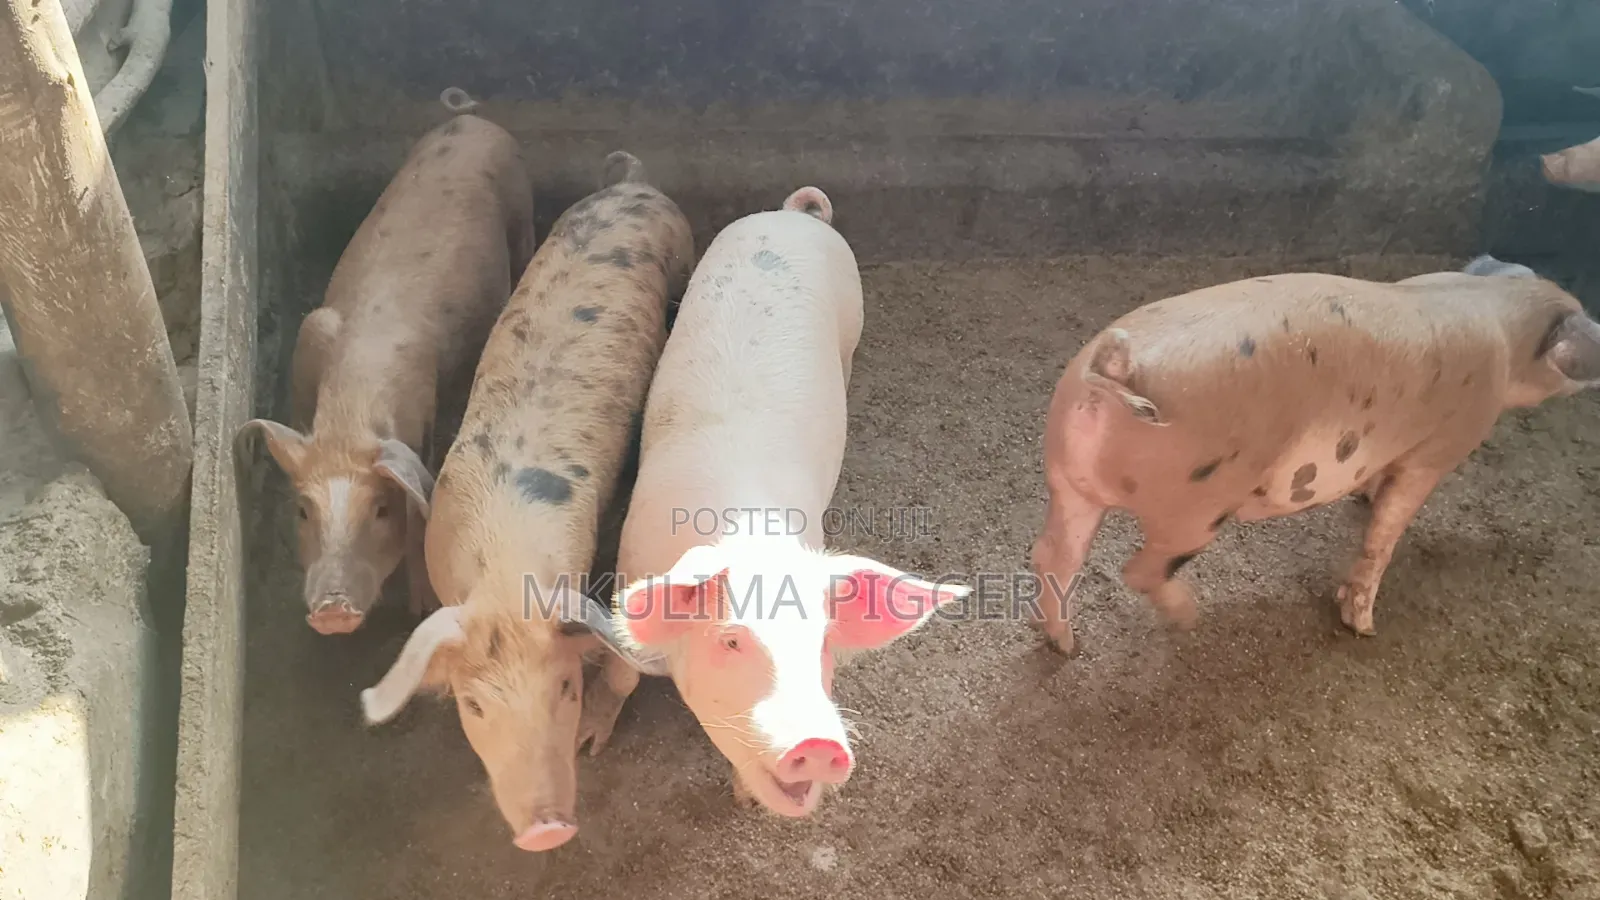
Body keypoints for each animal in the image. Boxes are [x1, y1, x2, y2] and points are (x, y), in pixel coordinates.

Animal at [235, 108, 535, 635]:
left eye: (379, 509)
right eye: (302, 511)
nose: (333, 609)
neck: (350, 411)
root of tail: (473, 118)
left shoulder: (422, 416)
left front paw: (419, 608)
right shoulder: (312, 335)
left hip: (521, 202)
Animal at [580, 186, 971, 819]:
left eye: (823, 645)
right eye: (731, 640)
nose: (818, 743)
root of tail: (793, 216)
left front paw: (744, 799)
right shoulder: (628, 571)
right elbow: (622, 674)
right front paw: (589, 744)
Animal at [1029, 255, 1600, 656]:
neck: (1500, 316)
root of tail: (1117, 364)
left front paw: (1364, 496)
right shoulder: (1438, 450)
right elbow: (1386, 534)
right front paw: (1364, 627)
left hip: (1069, 481)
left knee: (1052, 556)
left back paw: (1064, 646)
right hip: (1198, 504)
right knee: (1138, 570)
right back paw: (1188, 618)